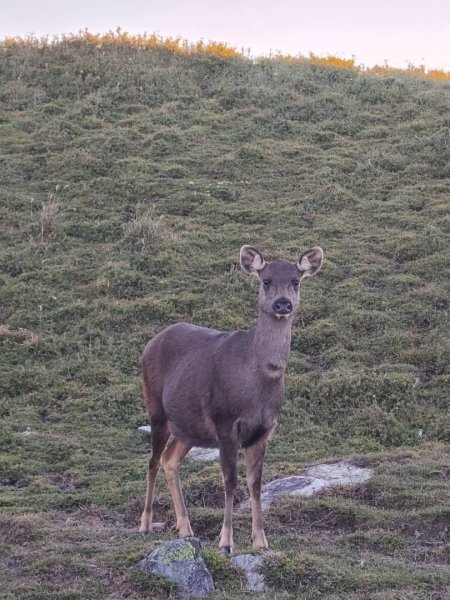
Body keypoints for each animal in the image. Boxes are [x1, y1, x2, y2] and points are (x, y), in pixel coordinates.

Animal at [139, 244, 322, 552]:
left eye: (296, 281)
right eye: (266, 280)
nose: (283, 304)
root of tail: (150, 344)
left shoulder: (264, 430)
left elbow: (255, 483)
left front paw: (261, 541)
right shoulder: (225, 422)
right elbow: (230, 480)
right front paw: (226, 542)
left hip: (188, 427)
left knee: (169, 460)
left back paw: (185, 528)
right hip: (156, 407)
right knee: (152, 460)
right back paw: (145, 524)